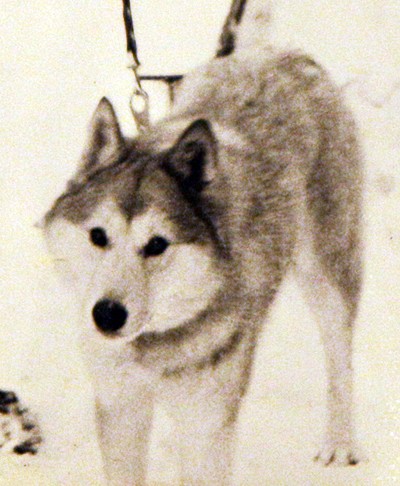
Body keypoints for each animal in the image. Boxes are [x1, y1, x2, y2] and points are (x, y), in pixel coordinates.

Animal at [42, 47, 363, 485]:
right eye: (98, 235)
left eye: (157, 244)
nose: (107, 314)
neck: (154, 346)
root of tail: (286, 55)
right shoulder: (120, 406)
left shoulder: (206, 424)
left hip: (327, 274)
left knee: (339, 356)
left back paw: (340, 442)